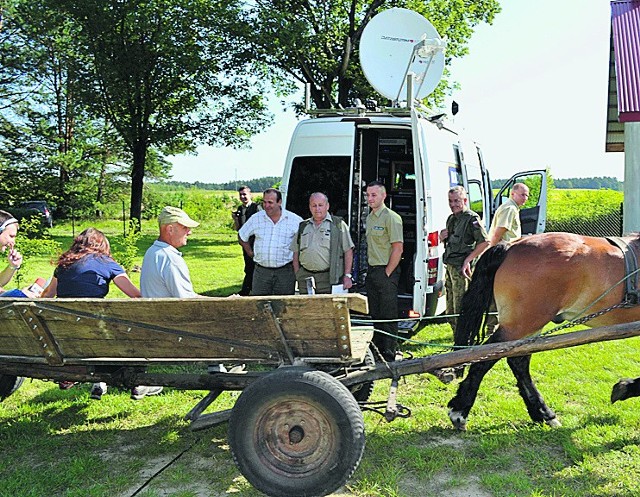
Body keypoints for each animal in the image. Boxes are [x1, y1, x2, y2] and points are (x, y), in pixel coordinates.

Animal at [448, 232, 640, 430]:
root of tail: (512, 245)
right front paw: (626, 388)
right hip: (520, 324)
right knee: (486, 359)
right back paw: (460, 410)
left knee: (518, 362)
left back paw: (543, 413)